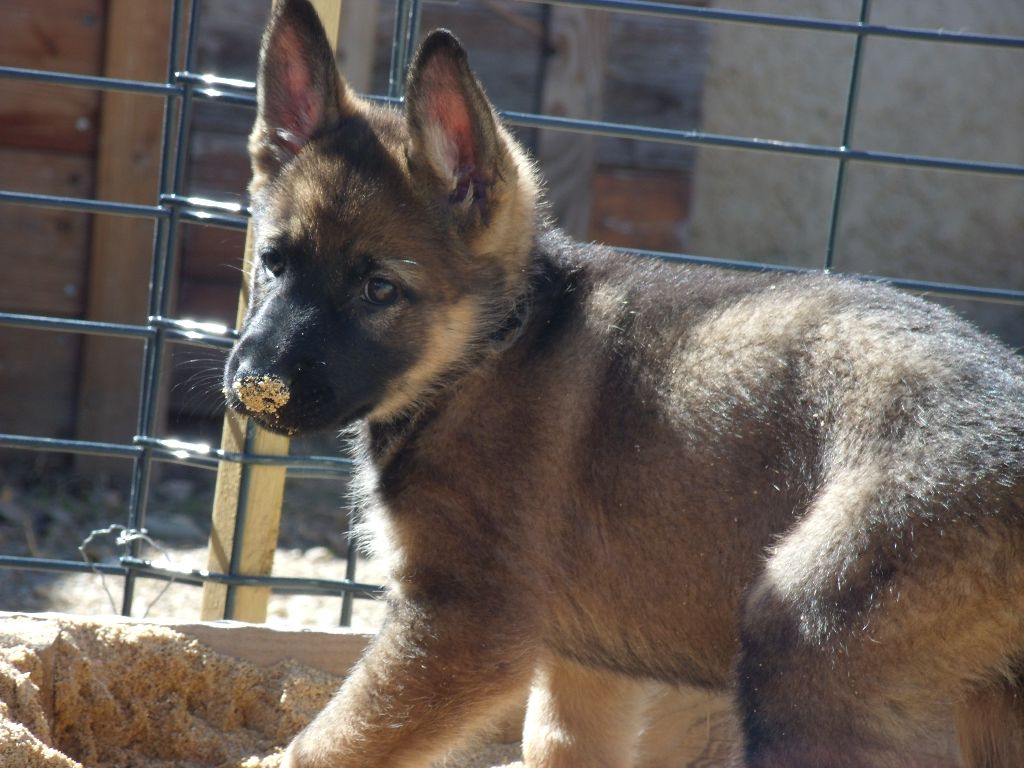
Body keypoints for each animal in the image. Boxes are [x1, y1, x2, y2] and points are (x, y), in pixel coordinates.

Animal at [223, 1, 1024, 765]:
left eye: (380, 290)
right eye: (273, 262)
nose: (255, 384)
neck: (487, 351)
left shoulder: (462, 622)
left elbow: (329, 744)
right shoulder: (587, 660)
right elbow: (555, 744)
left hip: (809, 635)